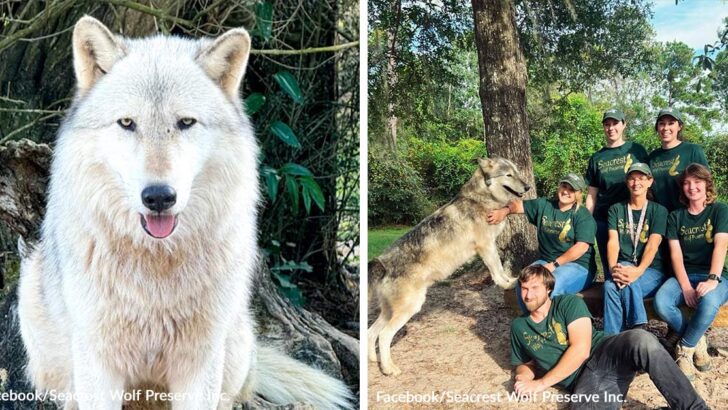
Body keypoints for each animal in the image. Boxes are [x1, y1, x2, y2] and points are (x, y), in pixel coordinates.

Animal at [17, 16, 351, 409]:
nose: (159, 196)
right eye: (127, 123)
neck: (155, 269)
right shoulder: (99, 364)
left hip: (233, 347)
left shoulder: (200, 362)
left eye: (186, 123)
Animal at [368, 157, 530, 376]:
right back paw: (389, 369)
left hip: (389, 312)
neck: (480, 199)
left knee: (370, 332)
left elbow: (500, 269)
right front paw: (508, 284)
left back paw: (372, 360)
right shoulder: (486, 245)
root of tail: (382, 263)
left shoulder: (490, 245)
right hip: (409, 308)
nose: (527, 187)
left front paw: (510, 280)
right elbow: (497, 269)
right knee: (384, 336)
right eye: (508, 175)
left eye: (517, 172)